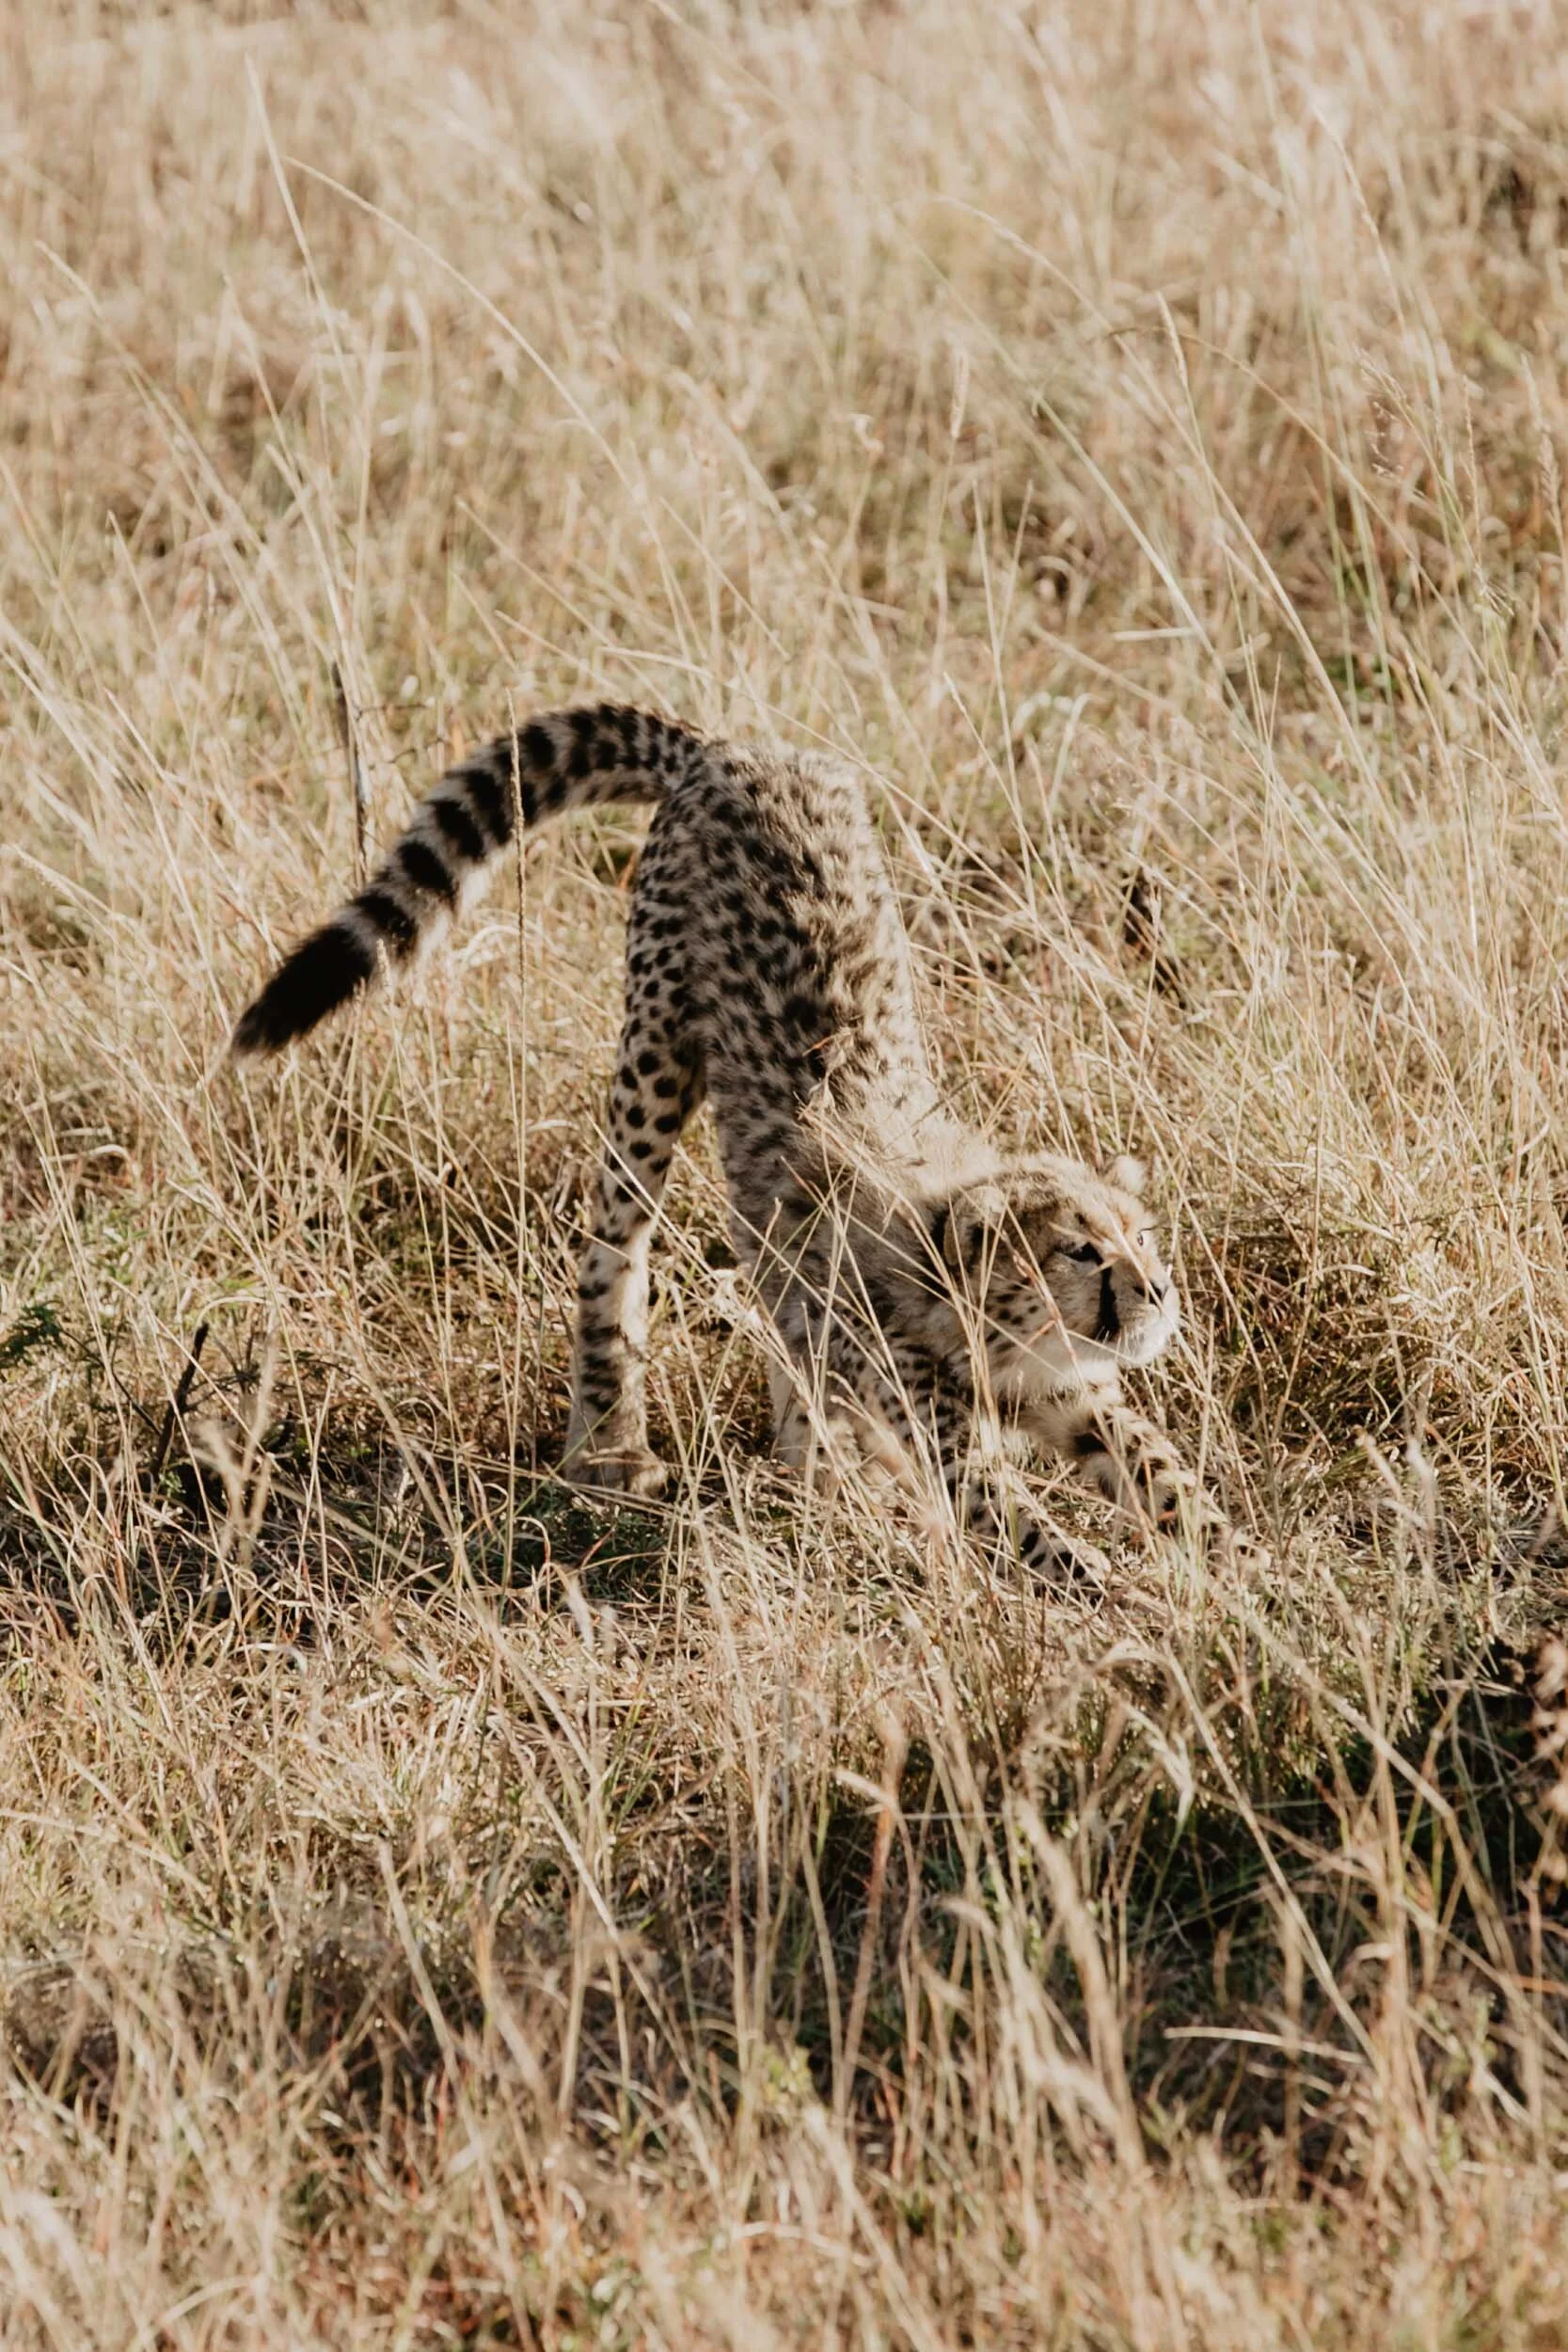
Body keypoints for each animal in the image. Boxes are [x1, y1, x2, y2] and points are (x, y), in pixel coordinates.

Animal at [232, 701, 1223, 1581]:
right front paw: (1101, 1582)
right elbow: (1013, 1518)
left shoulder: (1071, 1398)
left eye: (1141, 1237)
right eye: (1080, 1252)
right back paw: (613, 1446)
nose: (1159, 1293)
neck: (987, 1325)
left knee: (780, 1331)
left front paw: (1223, 1564)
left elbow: (1160, 1474)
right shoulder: (938, 1424)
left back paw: (815, 1471)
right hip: (654, 1059)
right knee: (614, 1253)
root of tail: (734, 750)